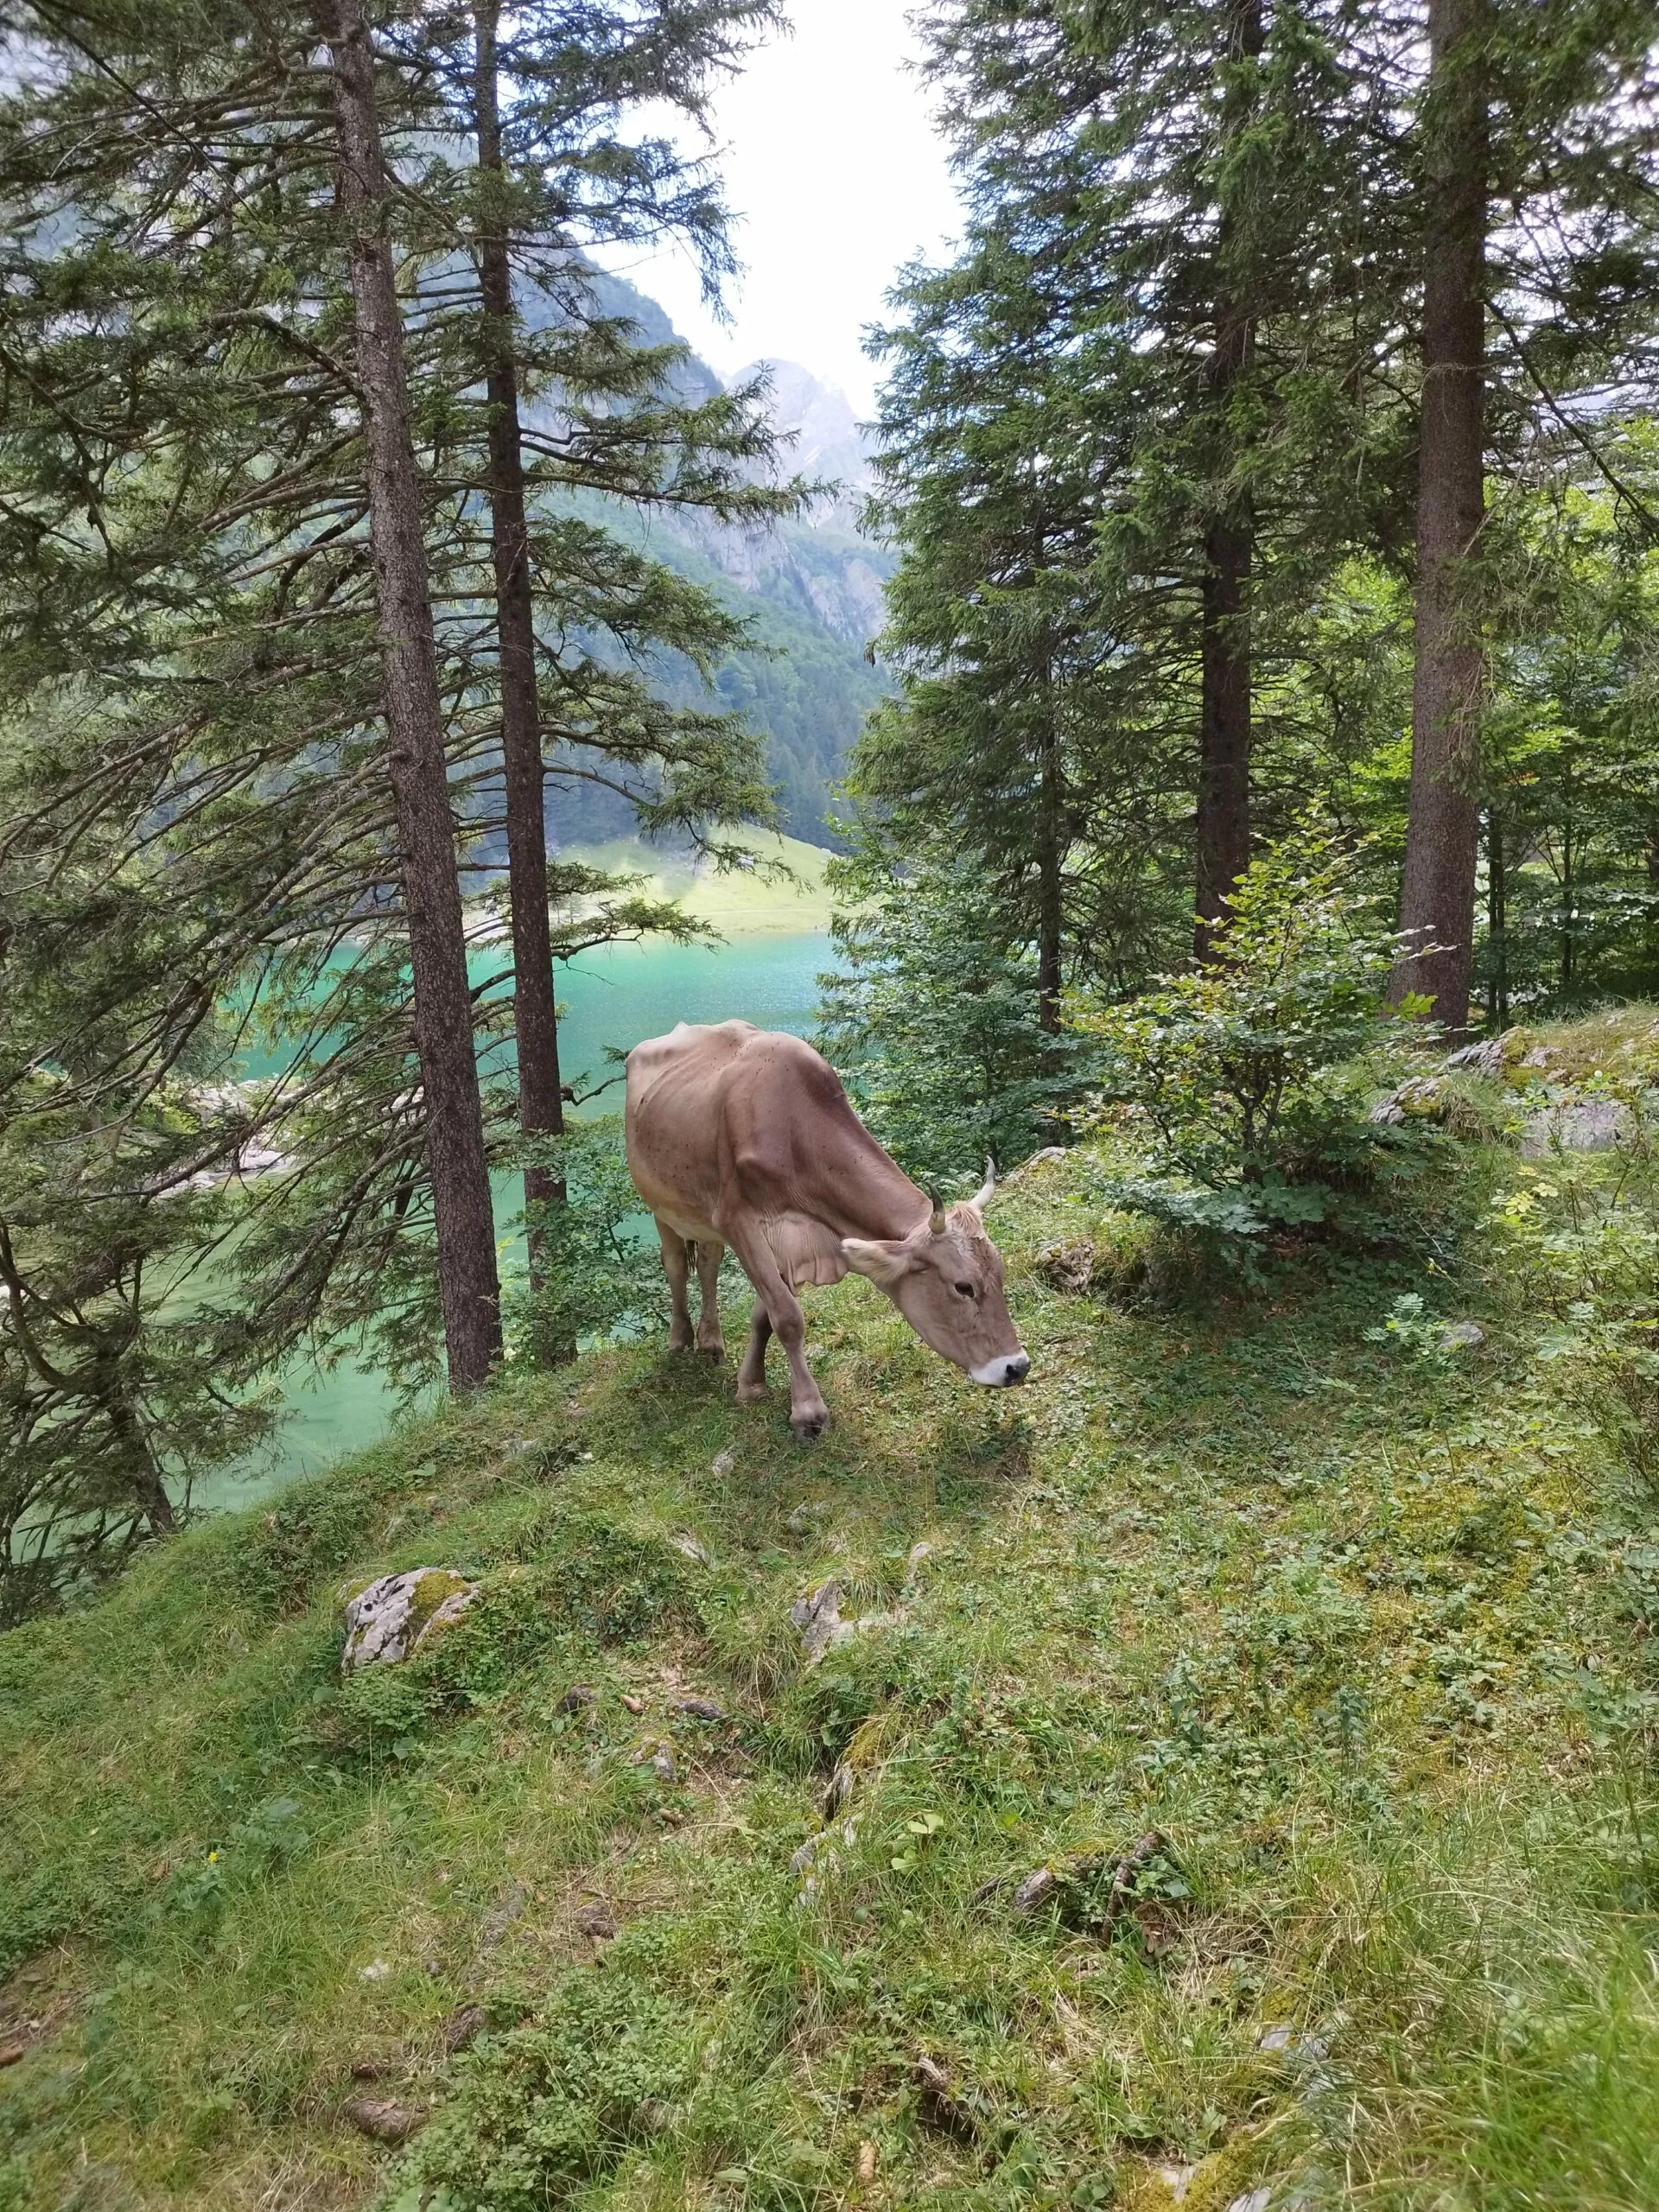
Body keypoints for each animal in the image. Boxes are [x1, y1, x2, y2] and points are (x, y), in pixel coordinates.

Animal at [628, 1017, 1035, 1433]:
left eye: (1000, 1274)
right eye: (963, 1286)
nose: (1016, 1367)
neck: (795, 1131)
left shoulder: (784, 1242)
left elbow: (764, 1316)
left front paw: (751, 1384)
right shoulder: (738, 1221)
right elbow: (787, 1316)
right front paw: (807, 1411)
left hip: (701, 1217)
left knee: (708, 1264)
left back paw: (711, 1342)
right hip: (661, 1205)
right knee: (676, 1265)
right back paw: (680, 1341)